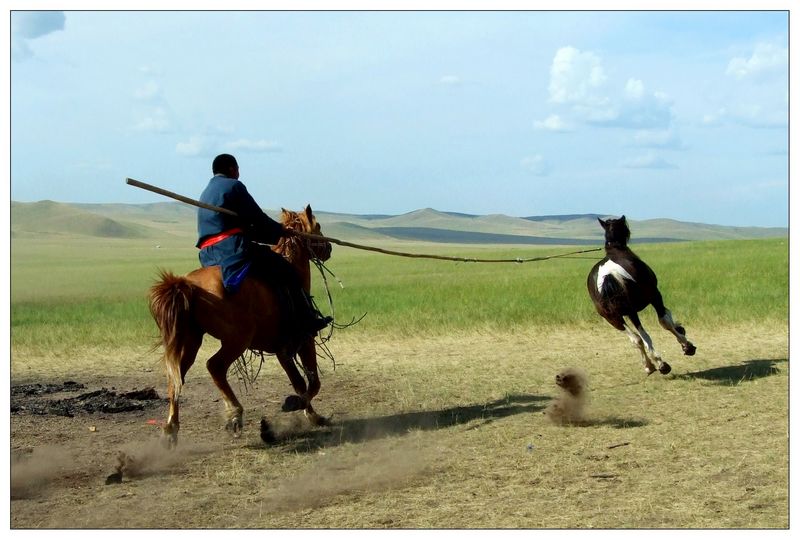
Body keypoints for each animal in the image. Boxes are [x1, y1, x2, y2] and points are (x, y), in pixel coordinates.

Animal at [149, 205, 332, 446]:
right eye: (317, 226)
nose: (328, 248)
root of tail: (188, 285)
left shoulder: (282, 350)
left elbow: (299, 383)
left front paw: (310, 414)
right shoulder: (305, 339)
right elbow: (313, 382)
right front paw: (300, 408)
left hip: (190, 340)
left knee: (176, 378)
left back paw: (171, 429)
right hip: (238, 339)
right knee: (214, 366)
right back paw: (234, 413)